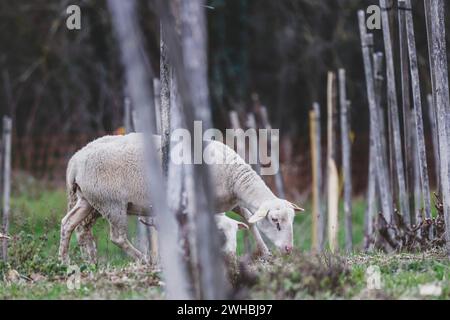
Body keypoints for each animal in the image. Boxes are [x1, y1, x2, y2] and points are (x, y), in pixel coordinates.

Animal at [57, 134, 302, 264]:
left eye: (291, 220)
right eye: (276, 221)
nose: (289, 249)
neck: (235, 178)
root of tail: (75, 161)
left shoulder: (229, 203)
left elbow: (249, 219)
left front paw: (265, 252)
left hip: (88, 200)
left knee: (70, 225)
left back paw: (73, 261)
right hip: (111, 203)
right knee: (117, 237)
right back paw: (145, 260)